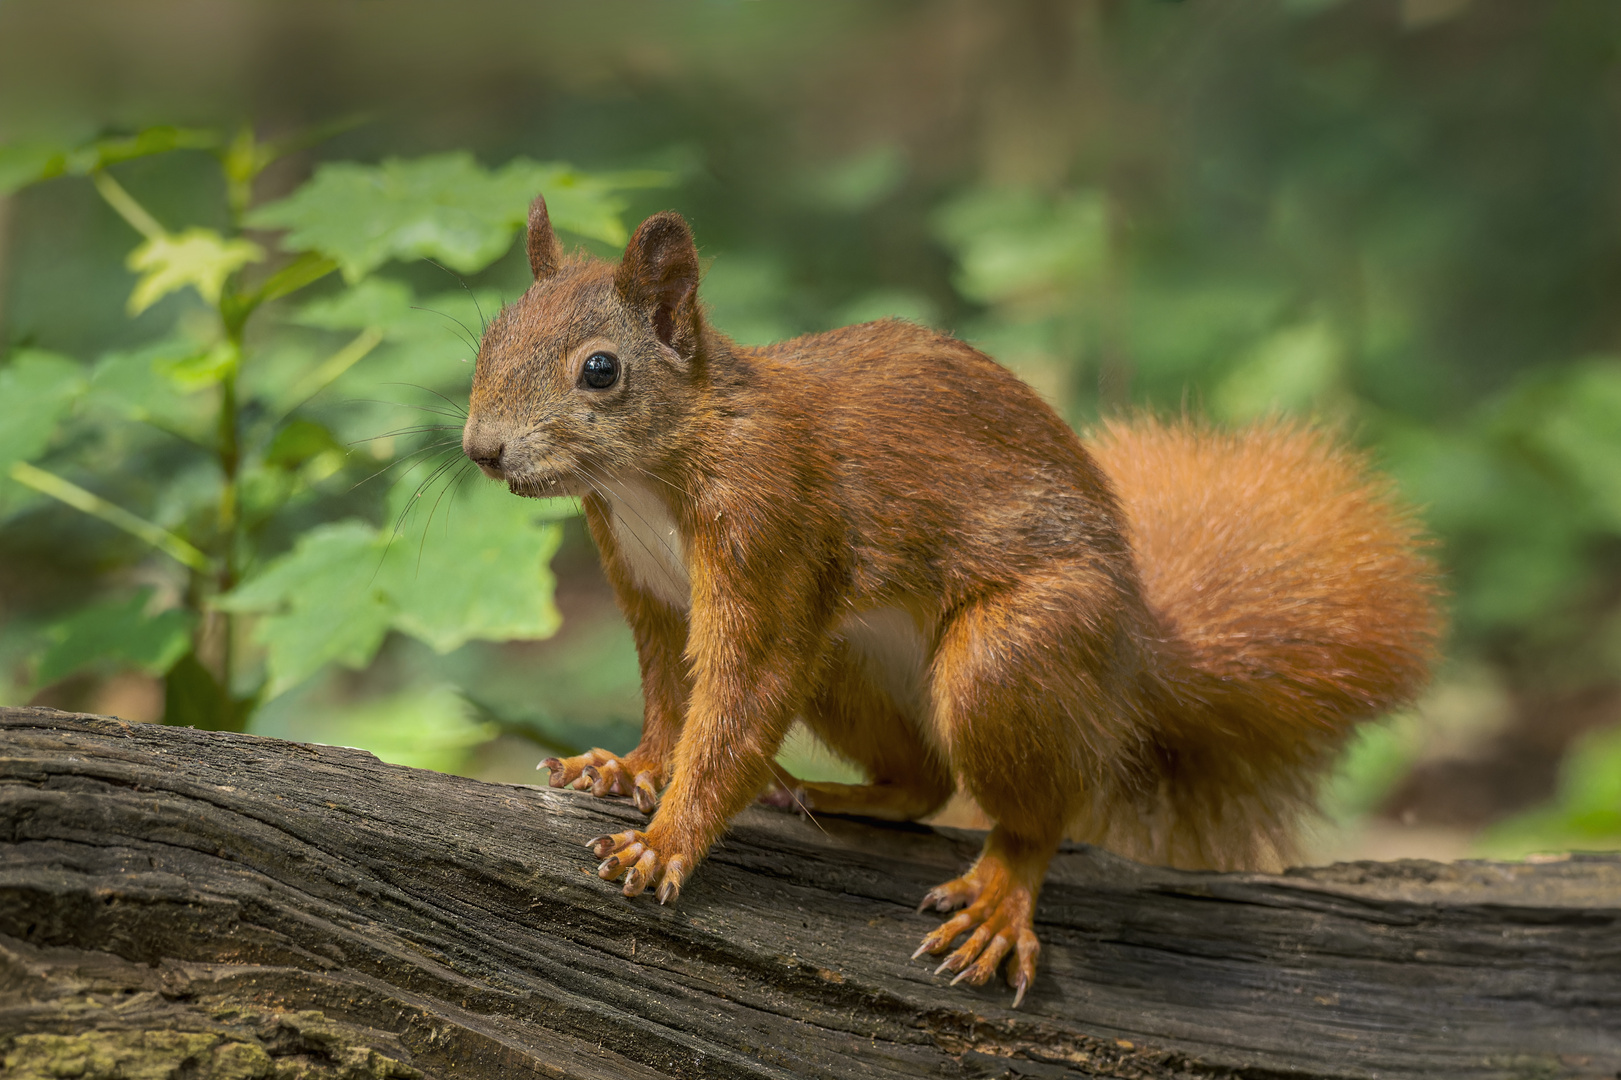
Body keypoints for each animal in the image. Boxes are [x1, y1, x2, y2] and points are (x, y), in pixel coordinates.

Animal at [463, 191, 1439, 998]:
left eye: (599, 370)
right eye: (488, 338)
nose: (481, 450)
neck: (654, 470)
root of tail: (1134, 658)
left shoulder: (771, 531)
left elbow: (737, 701)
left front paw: (666, 839)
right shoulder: (647, 589)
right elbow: (670, 694)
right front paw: (627, 768)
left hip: (1012, 657)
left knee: (1036, 813)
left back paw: (1000, 892)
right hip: (848, 661)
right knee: (924, 784)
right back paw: (829, 795)